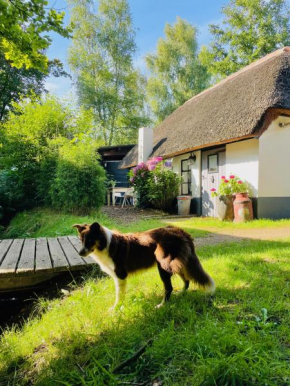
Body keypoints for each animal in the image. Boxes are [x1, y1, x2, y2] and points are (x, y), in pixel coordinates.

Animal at [73, 222, 215, 310]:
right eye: (81, 240)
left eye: (90, 240)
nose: (79, 253)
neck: (106, 244)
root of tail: (179, 231)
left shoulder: (120, 275)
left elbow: (119, 295)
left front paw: (116, 308)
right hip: (176, 263)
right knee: (186, 280)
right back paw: (181, 293)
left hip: (164, 265)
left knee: (169, 287)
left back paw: (162, 305)